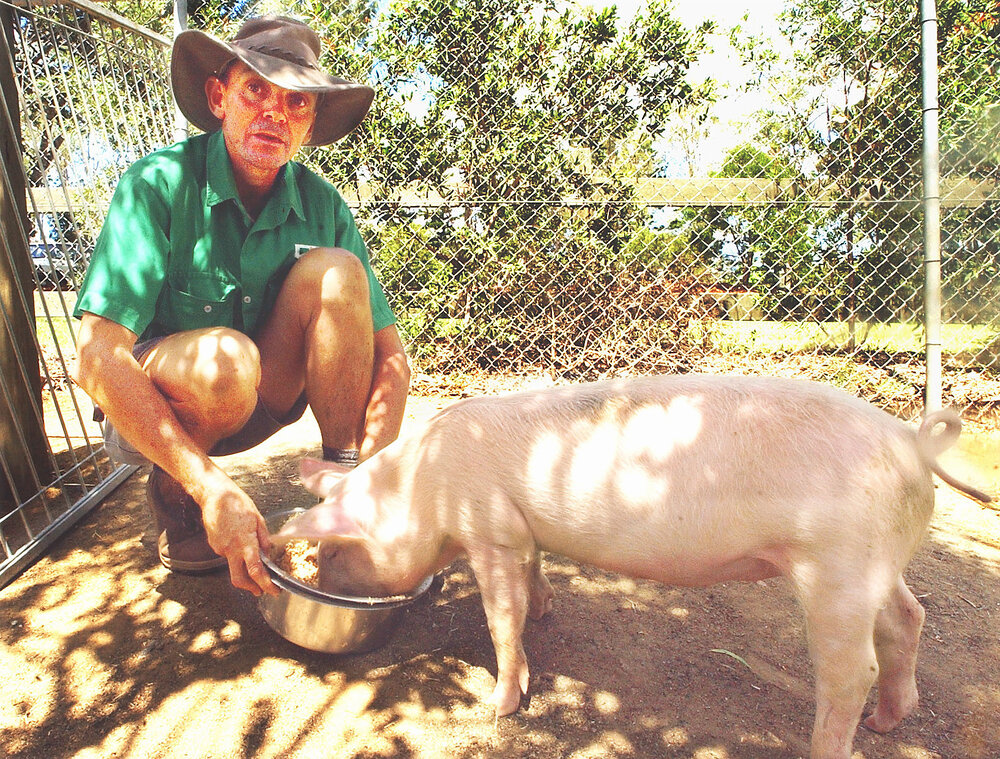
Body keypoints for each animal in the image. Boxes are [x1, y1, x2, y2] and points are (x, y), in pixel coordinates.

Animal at [273, 374, 991, 759]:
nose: (320, 576)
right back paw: (888, 722)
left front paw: (499, 708)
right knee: (908, 617)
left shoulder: (490, 530)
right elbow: (535, 575)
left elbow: (501, 617)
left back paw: (838, 739)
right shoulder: (521, 531)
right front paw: (547, 611)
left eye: (335, 550)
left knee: (852, 669)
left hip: (835, 566)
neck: (423, 485)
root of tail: (909, 440)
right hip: (874, 561)